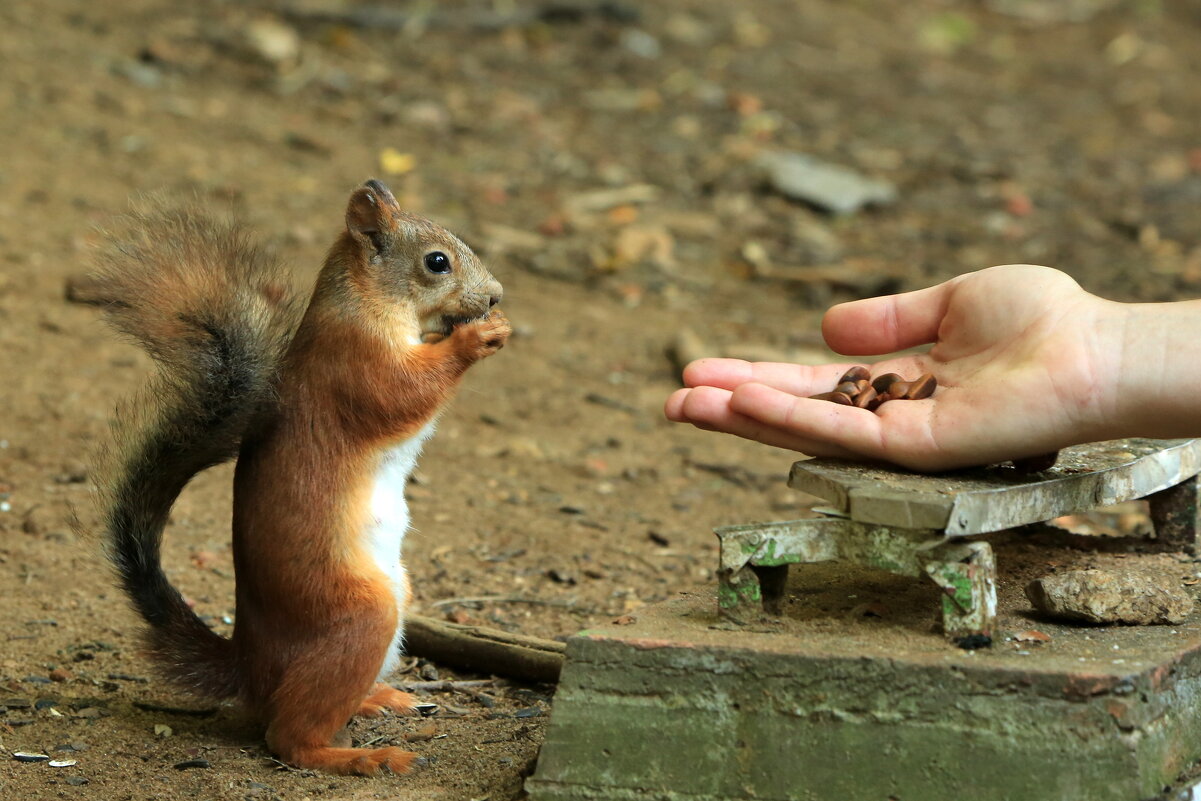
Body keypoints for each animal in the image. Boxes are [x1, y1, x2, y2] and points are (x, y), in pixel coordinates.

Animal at [90, 178, 511, 773]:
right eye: (437, 262)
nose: (495, 296)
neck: (365, 301)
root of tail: (250, 669)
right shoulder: (353, 363)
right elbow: (403, 393)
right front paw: (478, 338)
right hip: (359, 621)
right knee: (286, 737)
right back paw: (355, 757)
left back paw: (379, 699)